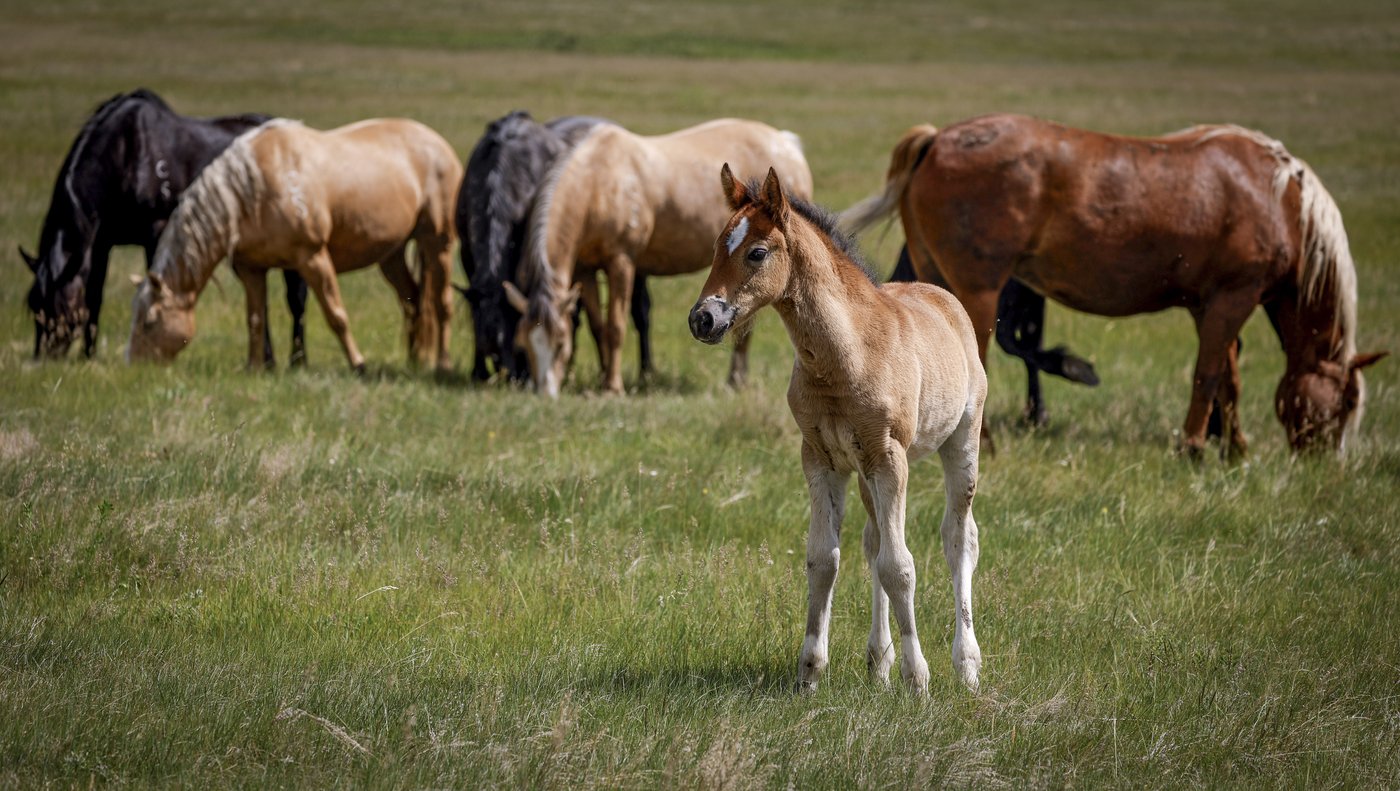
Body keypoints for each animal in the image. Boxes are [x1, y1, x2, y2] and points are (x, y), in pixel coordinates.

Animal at [21, 88, 308, 364]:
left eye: (58, 305)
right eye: (34, 305)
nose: (42, 358)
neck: (125, 156)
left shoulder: (156, 232)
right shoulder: (99, 244)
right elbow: (94, 298)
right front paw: (87, 357)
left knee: (296, 299)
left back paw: (298, 361)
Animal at [128, 118, 460, 373]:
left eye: (149, 321)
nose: (134, 366)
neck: (252, 189)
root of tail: (439, 144)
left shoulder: (313, 259)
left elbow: (336, 315)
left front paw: (358, 364)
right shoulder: (251, 268)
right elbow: (255, 319)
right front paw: (254, 367)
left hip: (437, 243)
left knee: (441, 303)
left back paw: (443, 363)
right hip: (391, 254)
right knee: (412, 300)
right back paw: (415, 360)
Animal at [455, 111, 658, 384]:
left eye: (511, 336)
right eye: (490, 349)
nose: (511, 376)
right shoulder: (467, 254)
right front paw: (478, 371)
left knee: (640, 311)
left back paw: (646, 371)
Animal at [506, 118, 813, 396]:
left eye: (561, 344)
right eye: (523, 344)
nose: (546, 393)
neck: (598, 183)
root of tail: (787, 143)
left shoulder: (621, 263)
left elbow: (615, 327)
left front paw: (613, 387)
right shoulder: (585, 270)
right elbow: (598, 328)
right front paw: (603, 377)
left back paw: (735, 382)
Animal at [691, 166, 986, 693]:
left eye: (757, 252)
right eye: (716, 247)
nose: (702, 318)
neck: (846, 354)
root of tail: (942, 296)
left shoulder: (890, 457)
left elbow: (900, 565)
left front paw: (918, 679)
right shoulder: (821, 458)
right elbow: (825, 559)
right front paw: (810, 671)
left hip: (961, 442)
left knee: (958, 540)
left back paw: (966, 665)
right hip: (864, 471)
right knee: (872, 542)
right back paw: (879, 661)